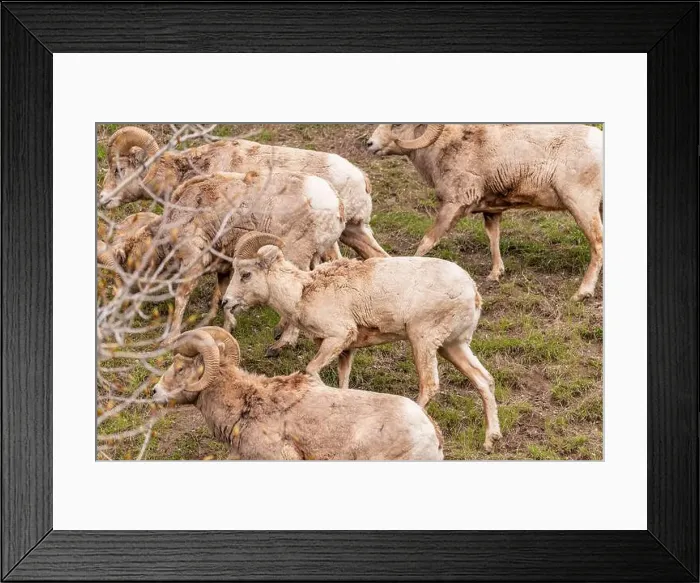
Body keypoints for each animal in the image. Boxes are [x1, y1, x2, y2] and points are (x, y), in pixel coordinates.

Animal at [109, 171, 345, 350]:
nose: (118, 303)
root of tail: (335, 204)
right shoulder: (222, 267)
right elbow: (224, 296)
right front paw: (227, 327)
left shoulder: (192, 263)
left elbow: (181, 299)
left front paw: (170, 339)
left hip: (298, 255)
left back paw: (282, 344)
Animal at [221, 232, 502, 452]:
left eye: (245, 274)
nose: (226, 302)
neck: (302, 293)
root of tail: (472, 291)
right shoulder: (346, 351)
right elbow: (343, 385)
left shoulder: (337, 337)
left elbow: (311, 371)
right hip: (452, 346)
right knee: (484, 380)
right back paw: (490, 440)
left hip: (423, 341)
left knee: (430, 385)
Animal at [366, 124, 603, 301]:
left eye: (397, 125)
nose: (369, 144)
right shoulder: (491, 212)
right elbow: (493, 238)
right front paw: (495, 275)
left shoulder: (452, 206)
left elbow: (427, 241)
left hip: (582, 206)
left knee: (597, 244)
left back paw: (582, 293)